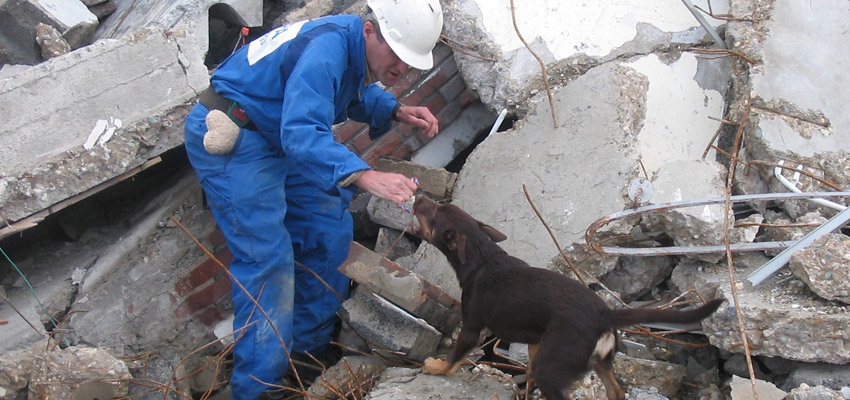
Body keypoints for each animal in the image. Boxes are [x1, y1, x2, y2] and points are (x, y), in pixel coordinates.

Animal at [410, 195, 724, 398]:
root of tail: (605, 313)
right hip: (599, 362)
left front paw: (437, 366)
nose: (418, 195)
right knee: (616, 392)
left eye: (435, 215)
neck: (480, 254)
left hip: (553, 370)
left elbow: (455, 356)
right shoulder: (537, 338)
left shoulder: (472, 327)